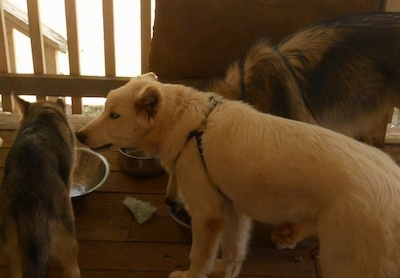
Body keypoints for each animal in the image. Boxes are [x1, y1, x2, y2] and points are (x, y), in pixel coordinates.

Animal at [77, 74, 400, 278]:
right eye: (104, 109)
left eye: (114, 116)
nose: (79, 135)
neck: (192, 127)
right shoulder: (234, 211)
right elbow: (233, 254)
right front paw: (222, 271)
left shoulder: (209, 215)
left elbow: (198, 257)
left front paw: (191, 275)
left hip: (343, 261)